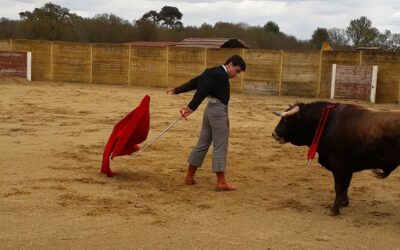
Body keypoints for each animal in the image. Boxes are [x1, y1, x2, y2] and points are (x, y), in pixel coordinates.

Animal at [272, 101, 400, 215]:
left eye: (287, 120)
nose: (274, 134)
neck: (327, 123)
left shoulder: (338, 165)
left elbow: (339, 187)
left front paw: (334, 210)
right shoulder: (347, 167)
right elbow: (346, 185)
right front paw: (344, 203)